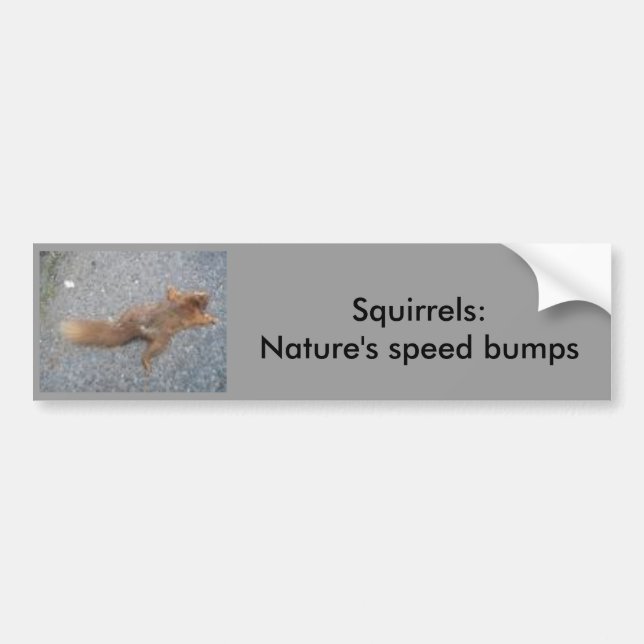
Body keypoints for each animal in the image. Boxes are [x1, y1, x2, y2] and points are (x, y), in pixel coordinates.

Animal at [60, 286, 218, 372]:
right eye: (204, 297)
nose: (208, 294)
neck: (188, 304)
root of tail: (139, 327)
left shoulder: (185, 306)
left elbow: (176, 296)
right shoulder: (190, 311)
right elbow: (199, 316)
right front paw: (212, 318)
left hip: (135, 312)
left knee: (123, 320)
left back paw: (117, 322)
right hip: (161, 340)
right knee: (147, 354)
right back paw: (146, 363)